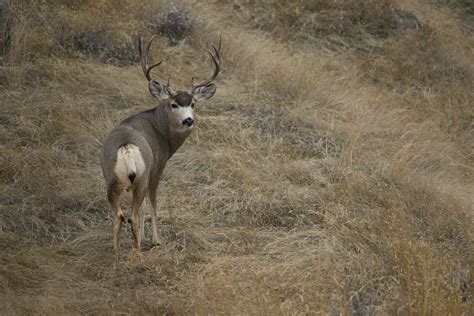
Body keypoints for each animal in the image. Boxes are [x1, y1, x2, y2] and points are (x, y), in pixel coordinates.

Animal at [99, 35, 220, 260]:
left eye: (193, 104)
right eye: (174, 104)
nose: (189, 120)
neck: (159, 130)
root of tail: (126, 148)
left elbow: (144, 208)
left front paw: (143, 237)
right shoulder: (157, 168)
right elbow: (153, 204)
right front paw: (155, 239)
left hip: (111, 179)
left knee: (119, 215)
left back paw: (118, 254)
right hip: (142, 177)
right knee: (132, 214)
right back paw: (136, 254)